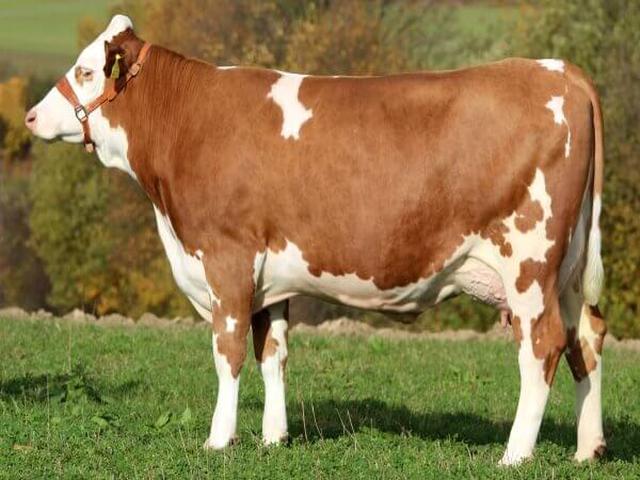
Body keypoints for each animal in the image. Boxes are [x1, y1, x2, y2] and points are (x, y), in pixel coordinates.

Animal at [25, 15, 606, 465]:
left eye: (84, 70)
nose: (30, 116)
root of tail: (562, 70)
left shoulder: (227, 257)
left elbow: (228, 351)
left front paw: (219, 440)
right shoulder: (268, 276)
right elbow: (273, 352)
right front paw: (273, 439)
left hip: (530, 261)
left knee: (543, 346)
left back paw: (515, 454)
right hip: (569, 269)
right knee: (586, 337)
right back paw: (588, 449)